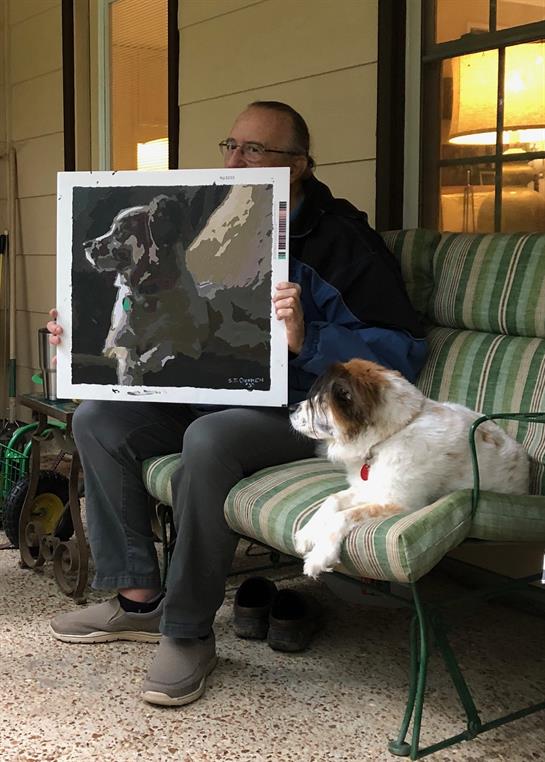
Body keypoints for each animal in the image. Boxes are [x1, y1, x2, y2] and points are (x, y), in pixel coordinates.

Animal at [84, 192, 222, 385]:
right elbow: (127, 354)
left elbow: (164, 345)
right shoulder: (114, 343)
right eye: (111, 229)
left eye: (121, 231)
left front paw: (146, 362)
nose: (85, 245)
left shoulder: (189, 345)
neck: (147, 293)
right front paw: (130, 375)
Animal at [290, 359, 530, 579]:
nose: (290, 408)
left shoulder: (402, 502)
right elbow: (332, 499)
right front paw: (307, 534)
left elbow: (343, 516)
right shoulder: (368, 488)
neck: (390, 436)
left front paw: (320, 556)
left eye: (321, 400)